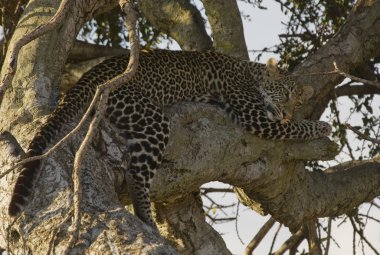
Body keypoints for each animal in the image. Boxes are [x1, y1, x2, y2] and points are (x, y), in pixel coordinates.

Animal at [8, 48, 330, 228]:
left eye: (298, 102)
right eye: (285, 95)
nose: (286, 113)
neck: (251, 72)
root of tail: (90, 75)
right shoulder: (256, 117)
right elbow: (296, 129)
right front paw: (322, 127)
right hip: (150, 118)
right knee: (137, 174)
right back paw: (146, 219)